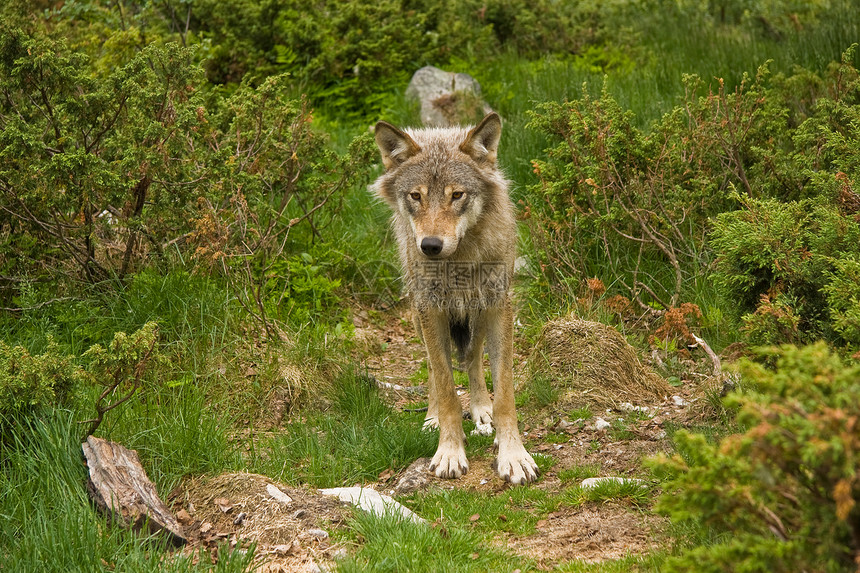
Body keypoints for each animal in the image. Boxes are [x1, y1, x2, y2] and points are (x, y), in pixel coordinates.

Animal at [370, 110, 536, 482]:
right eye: (416, 196)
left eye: (457, 195)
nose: (430, 245)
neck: (458, 262)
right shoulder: (430, 308)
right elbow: (446, 387)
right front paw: (449, 451)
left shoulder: (497, 305)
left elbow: (504, 391)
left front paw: (513, 455)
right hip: (419, 315)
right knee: (434, 367)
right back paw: (431, 418)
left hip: (476, 317)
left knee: (472, 359)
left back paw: (481, 408)